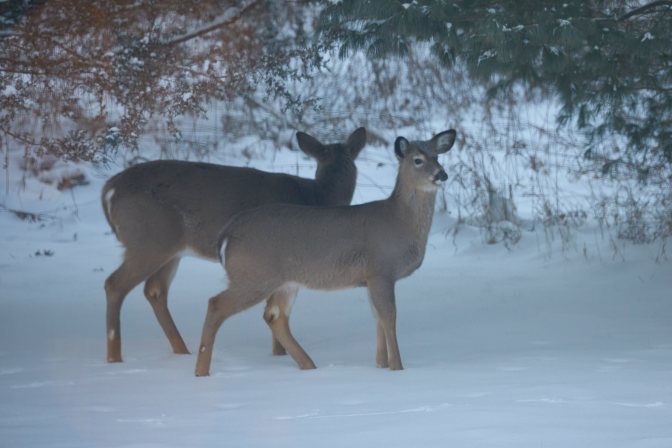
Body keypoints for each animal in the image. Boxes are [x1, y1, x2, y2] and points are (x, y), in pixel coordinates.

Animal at [102, 127, 367, 363]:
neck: (317, 197)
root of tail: (109, 189)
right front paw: (279, 356)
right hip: (148, 240)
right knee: (115, 284)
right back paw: (115, 357)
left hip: (170, 249)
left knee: (155, 289)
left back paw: (181, 351)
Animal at [194, 129, 456, 376]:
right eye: (418, 160)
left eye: (437, 156)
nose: (441, 174)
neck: (399, 221)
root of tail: (227, 233)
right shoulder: (381, 270)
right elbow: (389, 317)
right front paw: (398, 369)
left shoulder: (370, 279)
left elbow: (377, 318)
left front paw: (381, 366)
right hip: (255, 274)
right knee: (216, 304)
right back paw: (201, 372)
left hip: (285, 281)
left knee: (275, 316)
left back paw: (310, 366)